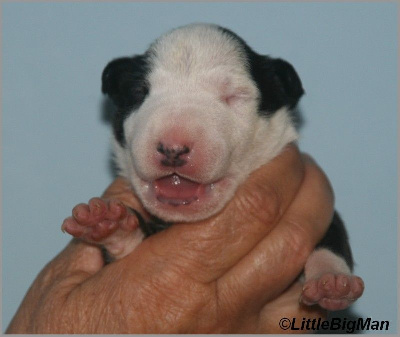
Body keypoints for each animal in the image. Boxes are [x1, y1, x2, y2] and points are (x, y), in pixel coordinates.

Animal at [61, 23, 362, 312]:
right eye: (139, 93)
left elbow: (332, 234)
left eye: (234, 96)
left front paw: (332, 280)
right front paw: (111, 225)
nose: (173, 148)